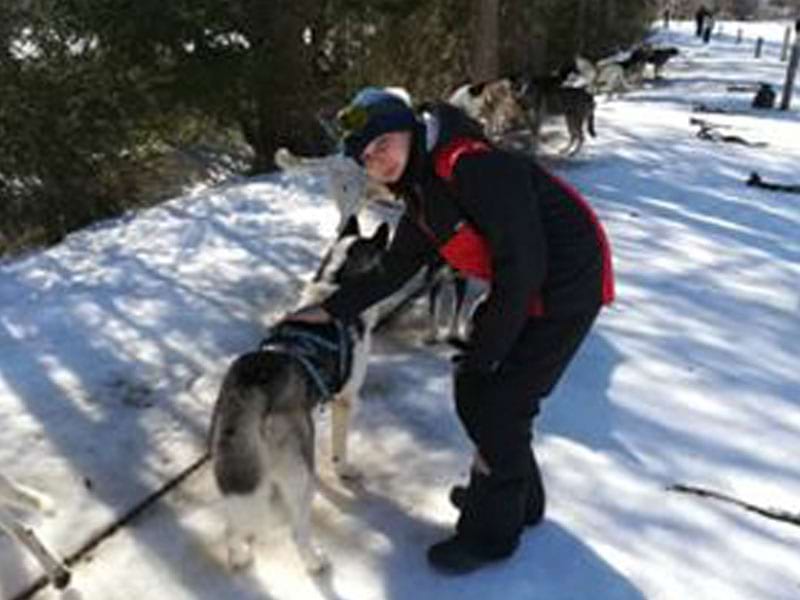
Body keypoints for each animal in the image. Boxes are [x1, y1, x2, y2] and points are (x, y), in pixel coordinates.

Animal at [211, 218, 390, 576]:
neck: (336, 285)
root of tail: (251, 383)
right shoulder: (345, 400)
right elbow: (339, 448)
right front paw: (344, 469)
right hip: (296, 476)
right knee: (296, 530)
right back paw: (314, 561)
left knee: (232, 525)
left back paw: (238, 557)